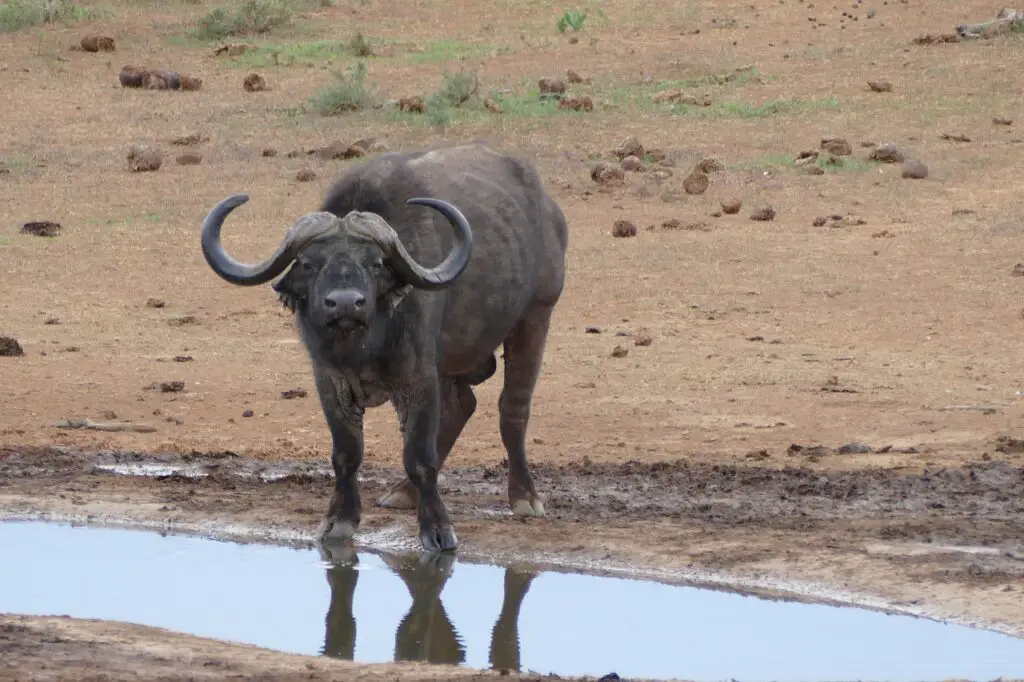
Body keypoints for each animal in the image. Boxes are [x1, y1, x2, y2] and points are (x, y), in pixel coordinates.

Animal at [199, 140, 569, 548]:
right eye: (310, 263)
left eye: (375, 263)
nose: (346, 303)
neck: (366, 344)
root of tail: (548, 210)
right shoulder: (329, 380)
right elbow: (347, 453)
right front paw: (340, 521)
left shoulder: (418, 378)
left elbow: (419, 456)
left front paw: (438, 530)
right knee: (462, 405)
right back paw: (403, 492)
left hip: (535, 315)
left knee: (512, 408)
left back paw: (524, 497)